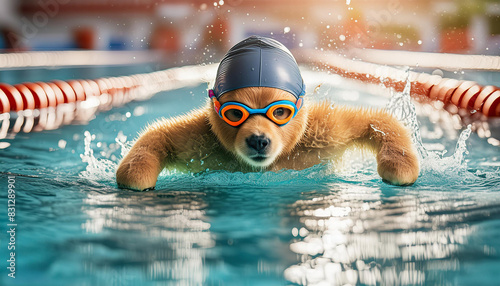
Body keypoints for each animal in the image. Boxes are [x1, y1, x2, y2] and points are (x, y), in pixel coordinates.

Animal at [116, 36, 418, 192]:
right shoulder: (198, 140)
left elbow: (377, 122)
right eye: (235, 115)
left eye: (280, 112)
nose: (259, 140)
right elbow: (157, 136)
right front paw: (138, 172)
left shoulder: (326, 131)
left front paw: (398, 164)